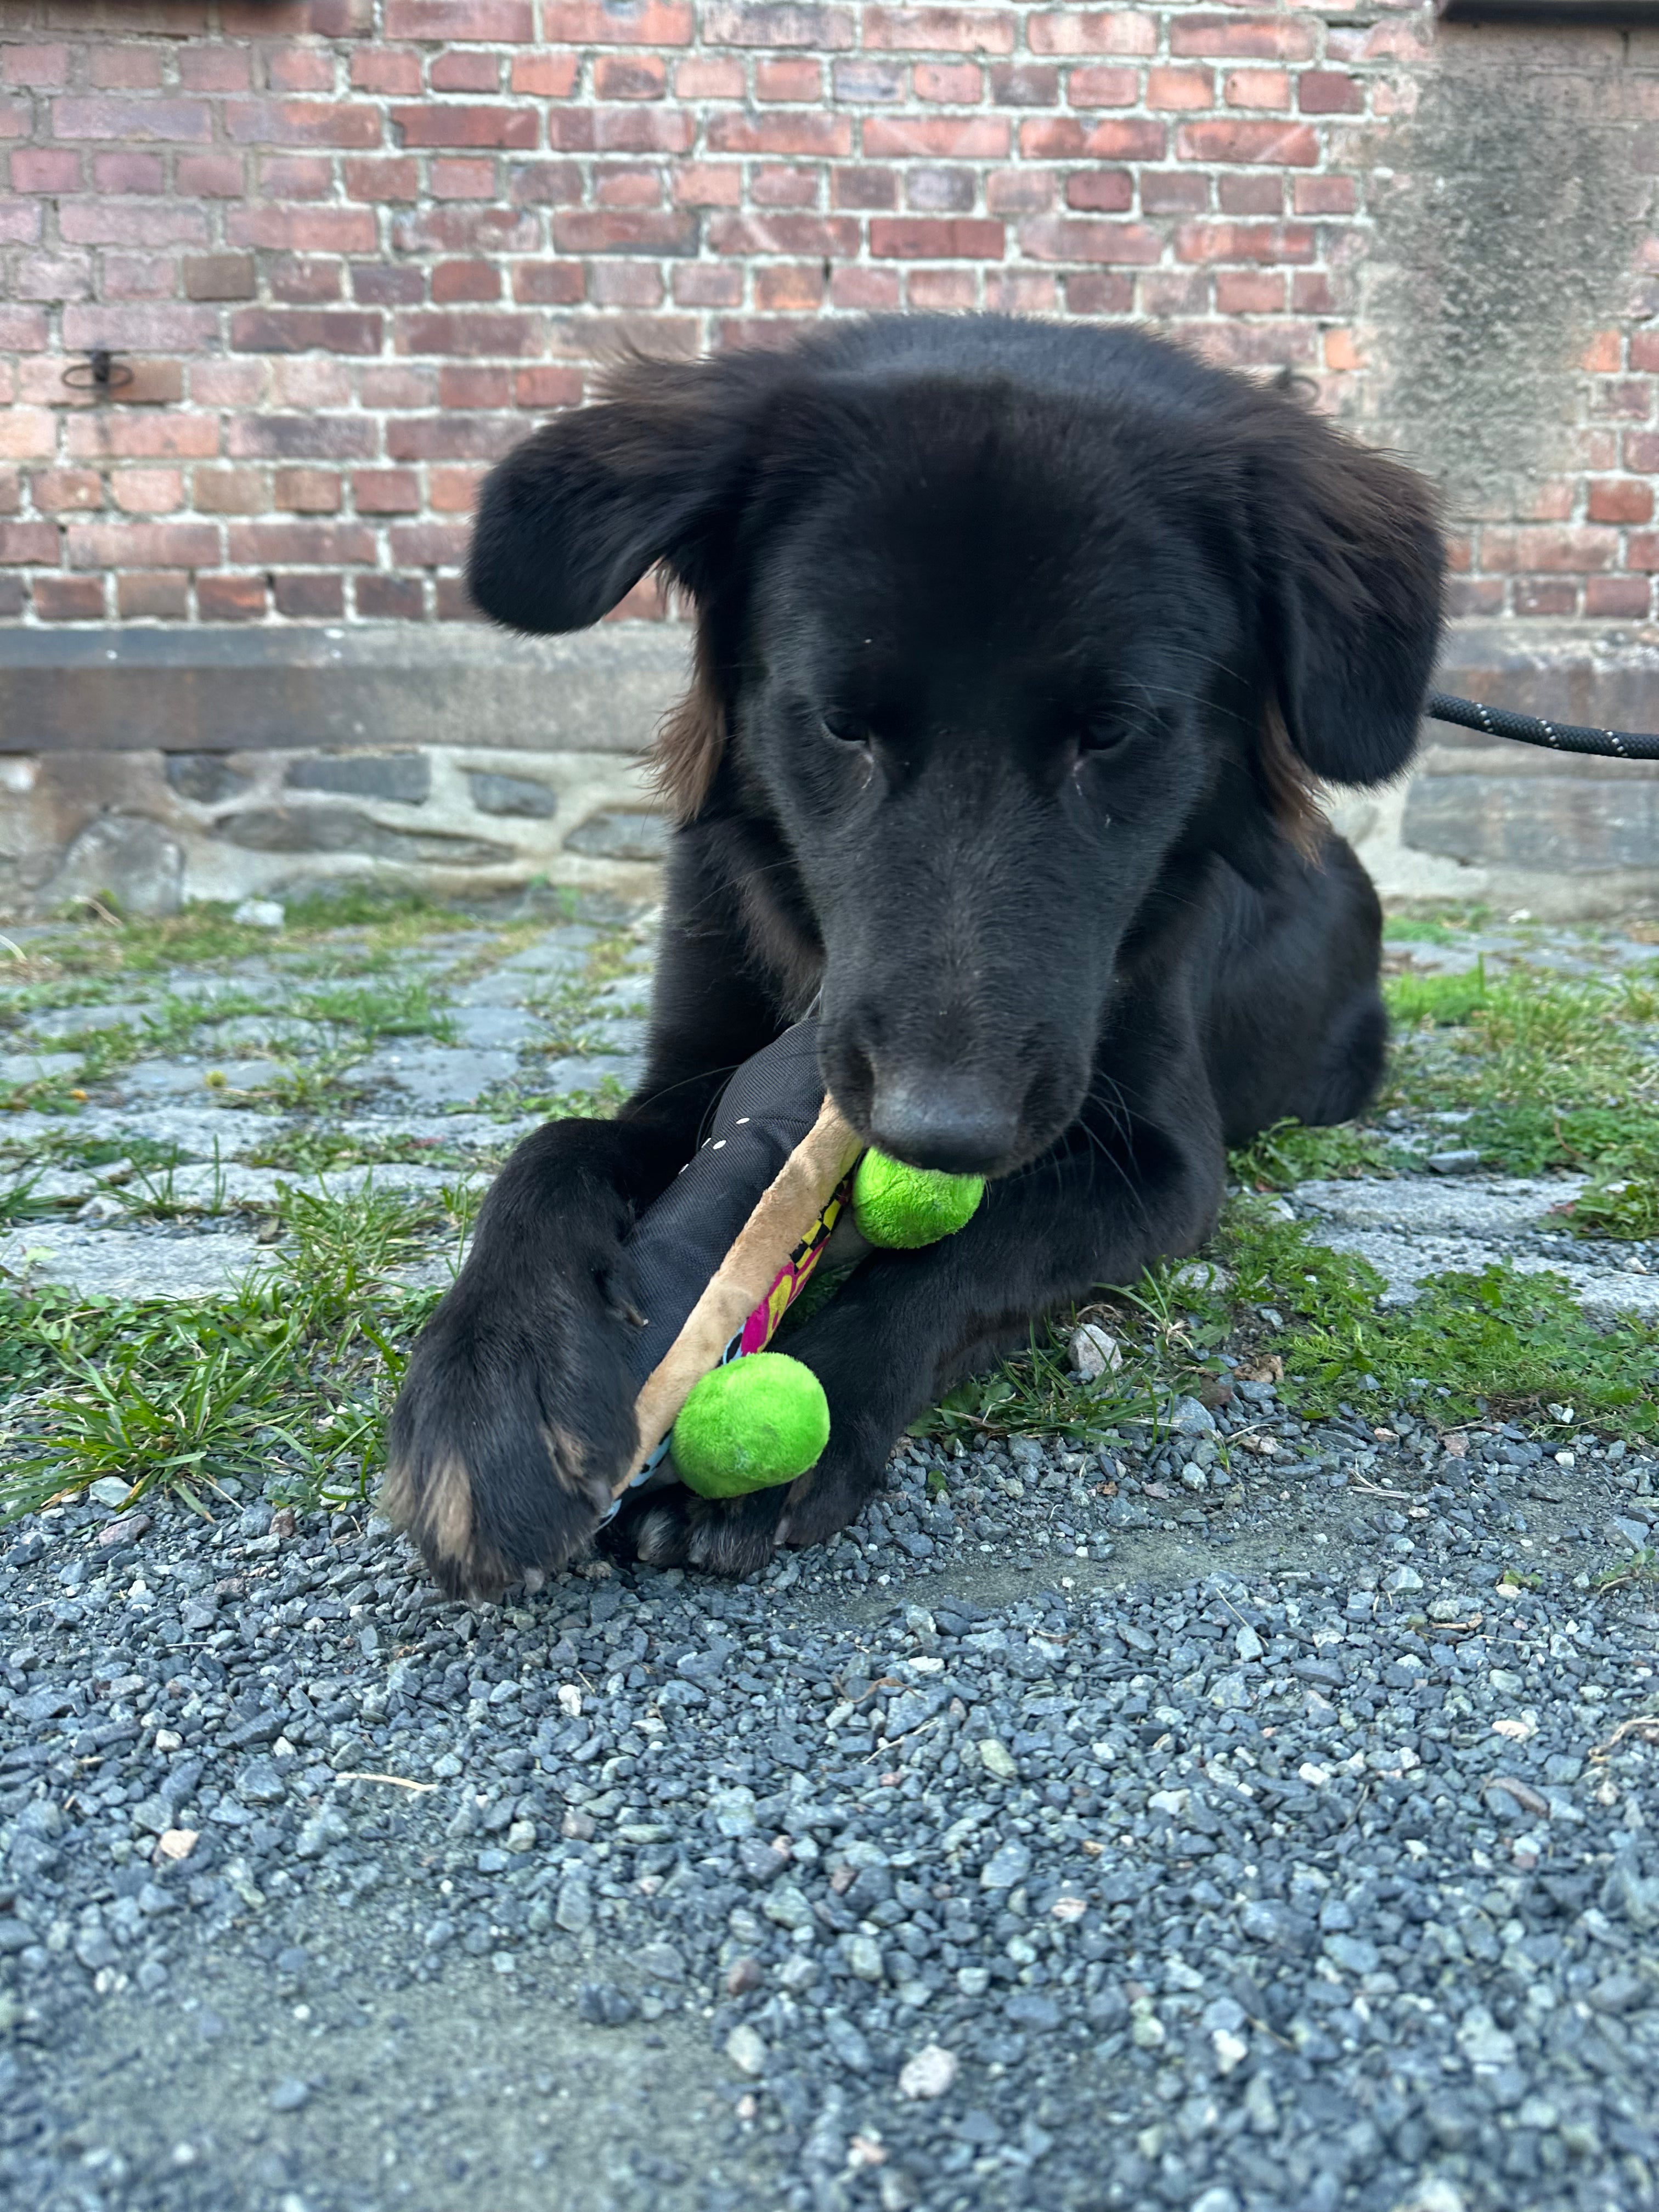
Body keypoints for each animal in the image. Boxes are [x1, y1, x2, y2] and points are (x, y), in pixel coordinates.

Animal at [387, 312, 1442, 1593]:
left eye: (1111, 734)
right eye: (842, 723)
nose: (942, 1132)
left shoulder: (1161, 1162)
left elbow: (963, 1257)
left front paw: (801, 1420)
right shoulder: (690, 1070)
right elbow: (550, 1150)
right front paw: (494, 1390)